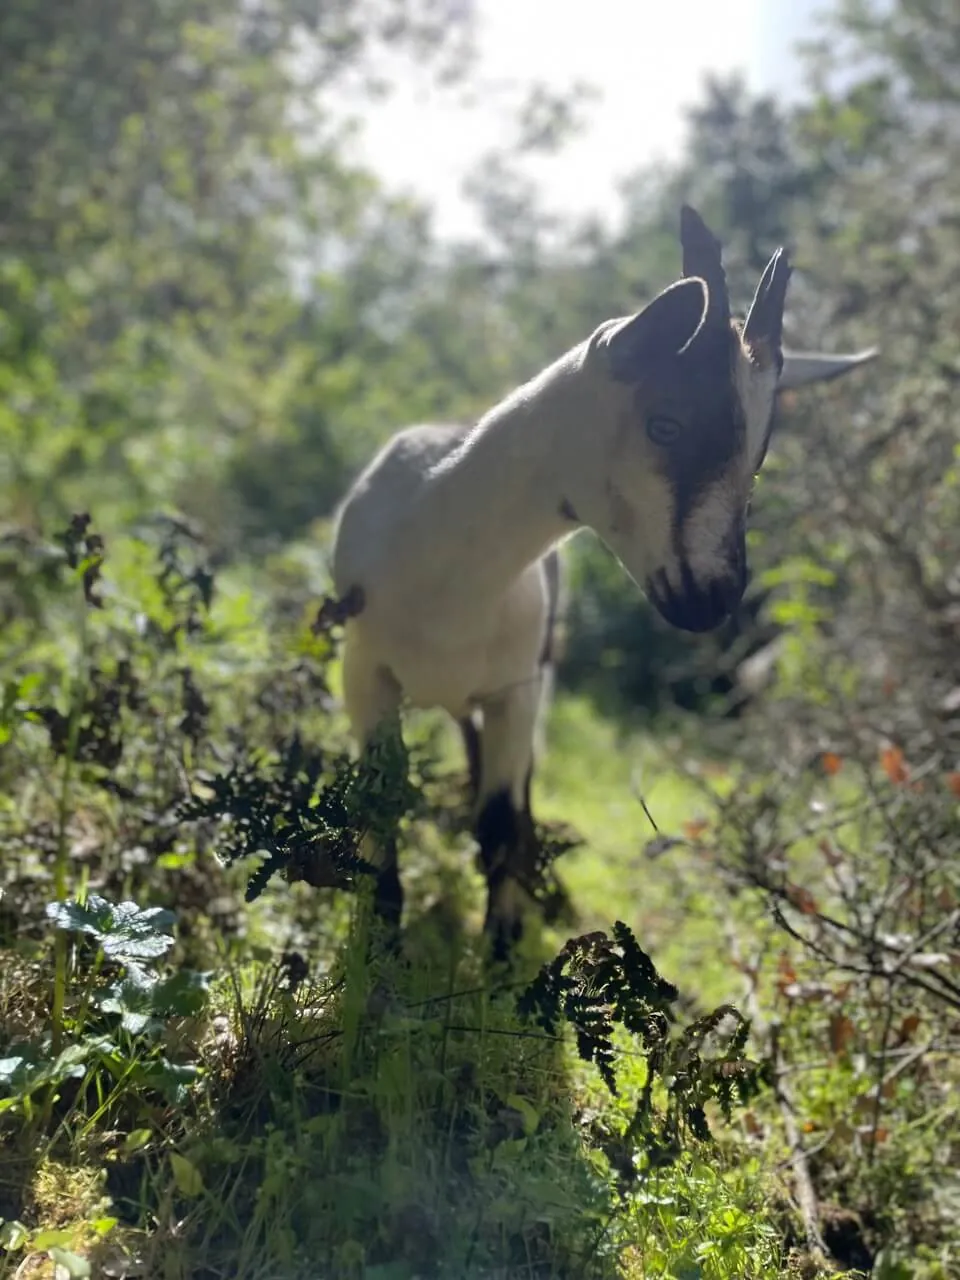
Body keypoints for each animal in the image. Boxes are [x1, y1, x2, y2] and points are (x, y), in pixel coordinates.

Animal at [330, 205, 876, 959]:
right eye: (666, 424)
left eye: (759, 452)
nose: (711, 596)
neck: (449, 579)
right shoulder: (365, 675)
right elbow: (380, 812)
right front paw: (379, 953)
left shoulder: (518, 686)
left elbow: (499, 823)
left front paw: (502, 950)